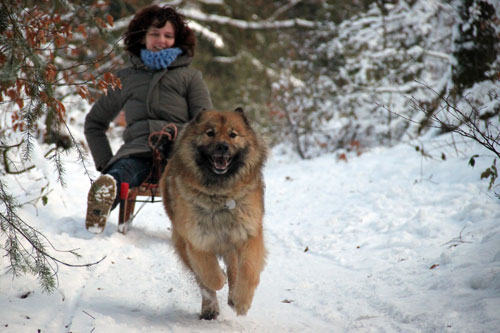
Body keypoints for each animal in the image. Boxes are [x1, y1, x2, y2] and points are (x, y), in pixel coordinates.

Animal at [161, 107, 270, 318]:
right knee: (202, 280)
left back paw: (233, 296)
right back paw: (210, 307)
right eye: (210, 133)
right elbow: (210, 275)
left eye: (233, 134)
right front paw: (219, 279)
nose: (222, 147)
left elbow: (248, 270)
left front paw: (242, 301)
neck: (220, 195)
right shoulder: (197, 240)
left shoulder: (248, 234)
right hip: (182, 243)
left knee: (234, 267)